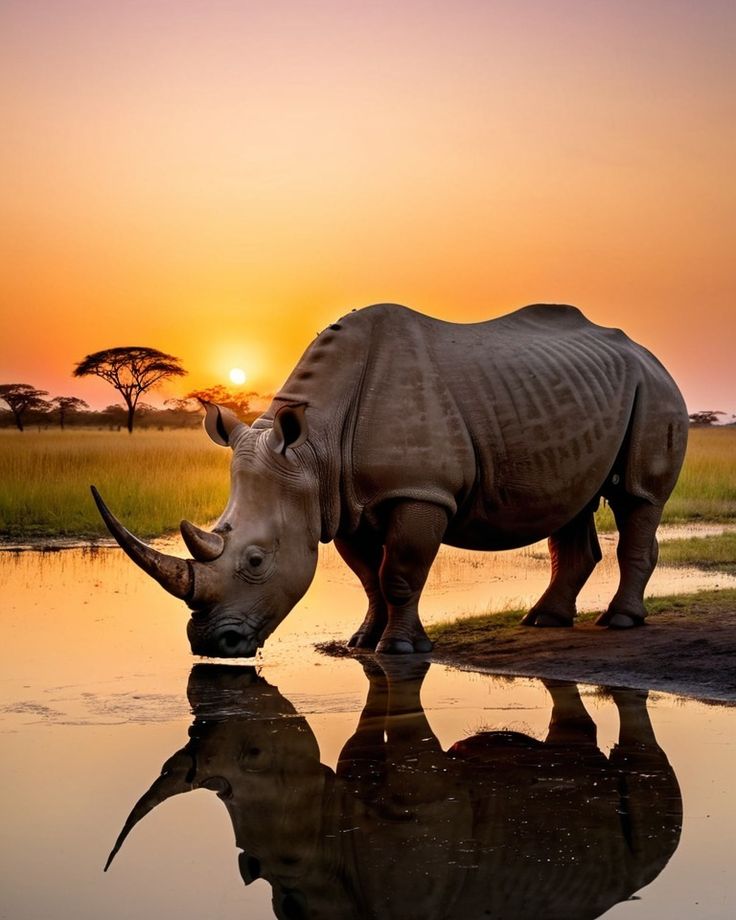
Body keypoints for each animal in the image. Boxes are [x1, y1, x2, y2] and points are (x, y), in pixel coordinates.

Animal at [93, 306, 688, 656]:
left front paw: (398, 651)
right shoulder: (343, 500)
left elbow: (401, 571)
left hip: (655, 388)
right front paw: (362, 642)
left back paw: (619, 622)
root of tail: (651, 354)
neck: (313, 446)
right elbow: (369, 576)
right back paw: (543, 622)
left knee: (637, 497)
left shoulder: (419, 492)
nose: (212, 645)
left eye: (257, 561)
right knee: (571, 502)